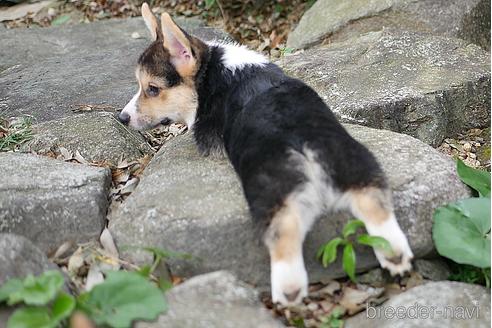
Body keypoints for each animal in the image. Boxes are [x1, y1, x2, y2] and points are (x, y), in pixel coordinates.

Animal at [120, 3, 416, 304]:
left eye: (152, 89)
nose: (122, 118)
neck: (212, 72)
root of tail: (305, 145)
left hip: (269, 191)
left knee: (284, 234)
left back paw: (289, 288)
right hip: (355, 160)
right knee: (374, 204)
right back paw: (395, 255)